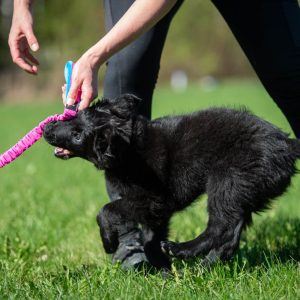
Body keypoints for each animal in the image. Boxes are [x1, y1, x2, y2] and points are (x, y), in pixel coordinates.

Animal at [43, 95, 300, 268]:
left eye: (78, 136)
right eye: (75, 117)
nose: (47, 129)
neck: (127, 149)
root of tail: (288, 145)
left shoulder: (154, 199)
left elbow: (106, 210)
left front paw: (109, 242)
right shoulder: (157, 212)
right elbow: (150, 238)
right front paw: (162, 270)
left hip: (228, 181)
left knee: (220, 226)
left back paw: (181, 250)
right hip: (246, 190)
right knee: (231, 233)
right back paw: (206, 266)